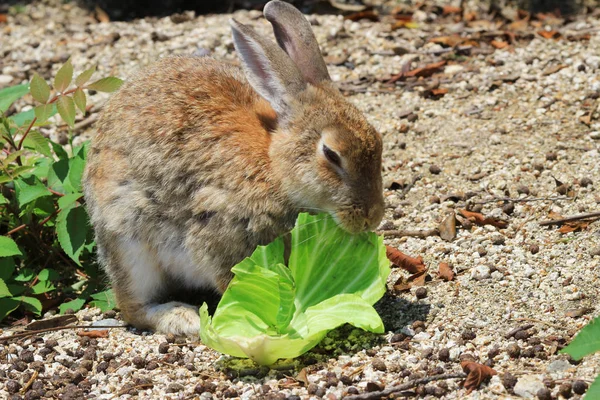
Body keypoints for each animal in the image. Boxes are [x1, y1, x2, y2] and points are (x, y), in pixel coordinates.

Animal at [83, 0, 384, 338]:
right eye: (331, 154)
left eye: (379, 141)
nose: (372, 218)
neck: (275, 169)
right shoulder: (220, 236)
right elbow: (231, 281)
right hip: (128, 242)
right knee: (132, 306)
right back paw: (183, 318)